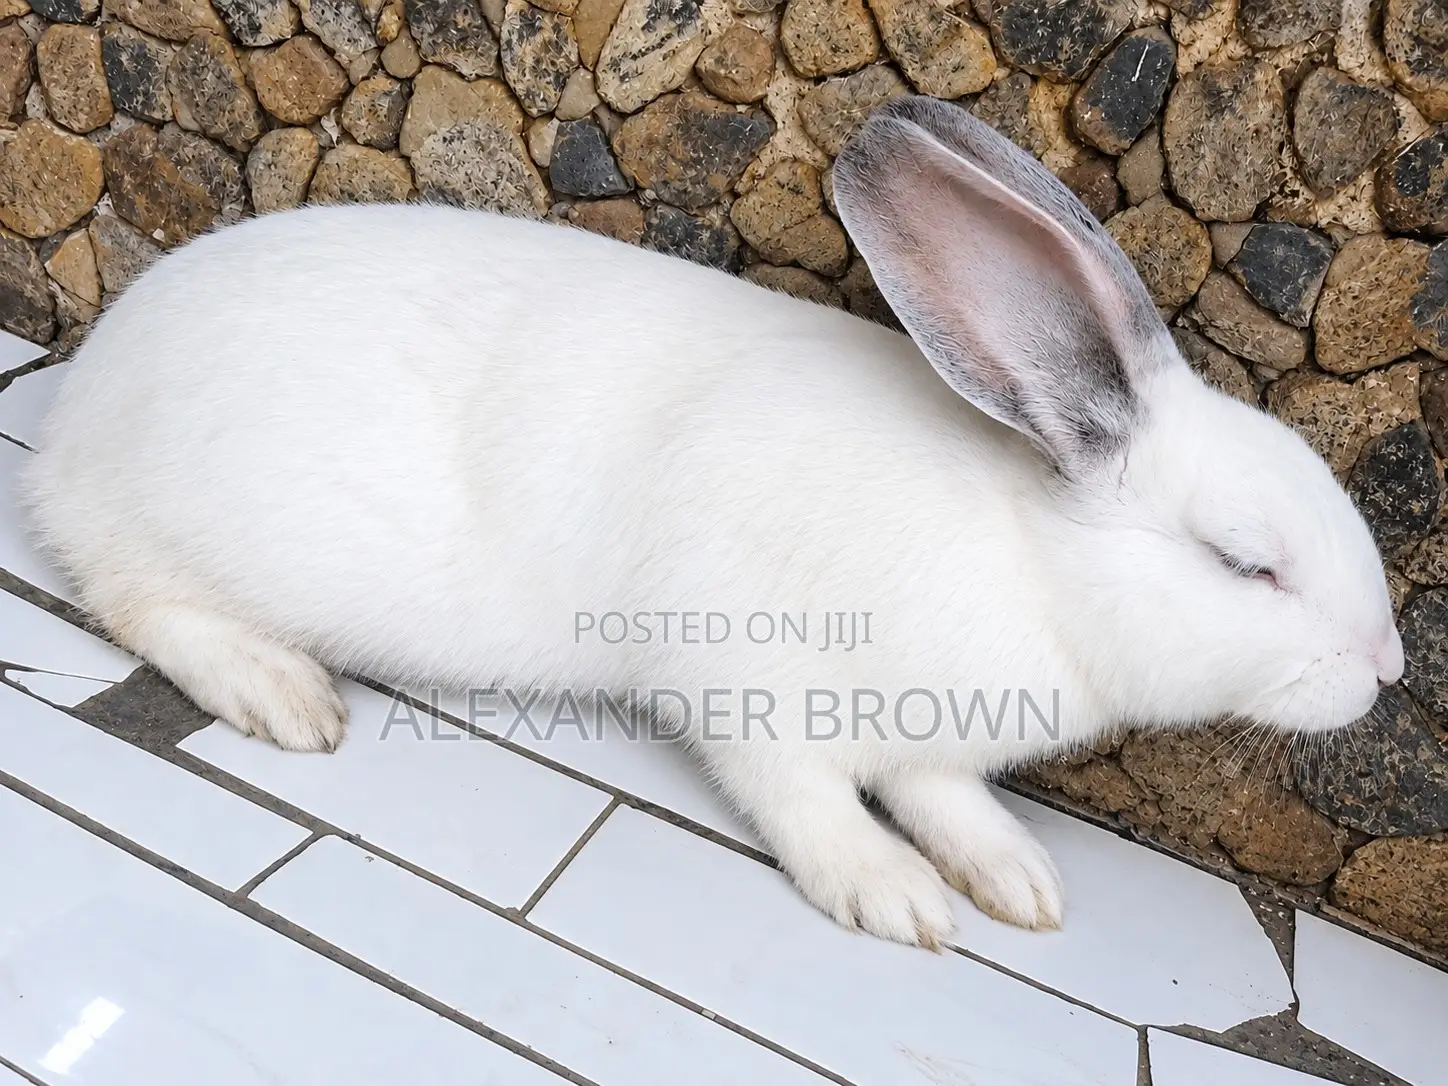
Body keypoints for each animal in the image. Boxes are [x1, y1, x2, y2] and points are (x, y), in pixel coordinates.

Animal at [23, 96, 1402, 949]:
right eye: (1246, 565)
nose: (1386, 670)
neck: (1029, 558)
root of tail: (82, 405)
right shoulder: (752, 680)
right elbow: (806, 800)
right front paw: (893, 898)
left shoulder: (928, 741)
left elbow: (946, 798)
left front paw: (1018, 880)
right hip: (175, 537)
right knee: (129, 594)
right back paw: (283, 696)